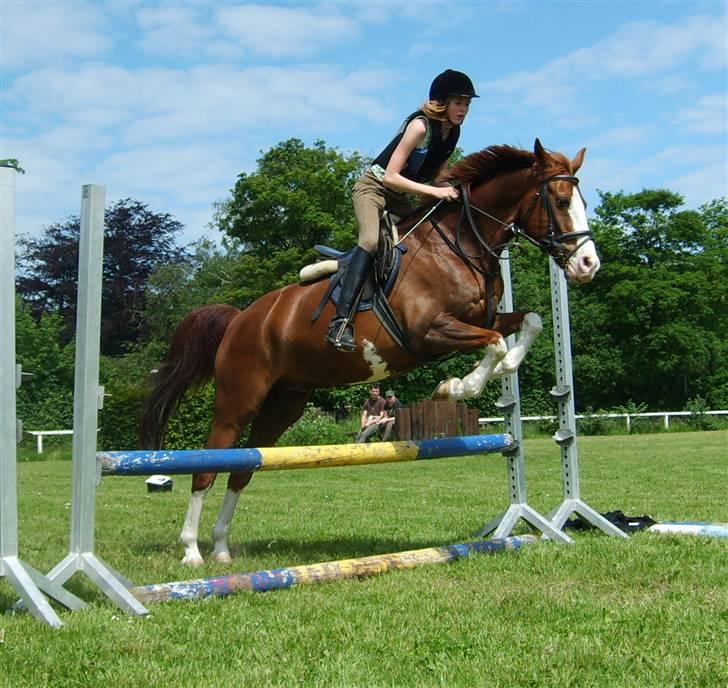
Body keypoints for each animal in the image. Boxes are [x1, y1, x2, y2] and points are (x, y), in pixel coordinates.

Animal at [139, 140, 600, 564]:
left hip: (284, 403)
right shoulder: (428, 333)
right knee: (208, 464)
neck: (460, 244)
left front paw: (502, 370)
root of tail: (240, 319)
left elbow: (530, 322)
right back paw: (192, 551)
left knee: (244, 465)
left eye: (583, 202)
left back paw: (220, 548)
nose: (588, 265)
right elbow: (493, 342)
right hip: (240, 398)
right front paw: (456, 386)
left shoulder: (483, 319)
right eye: (561, 202)